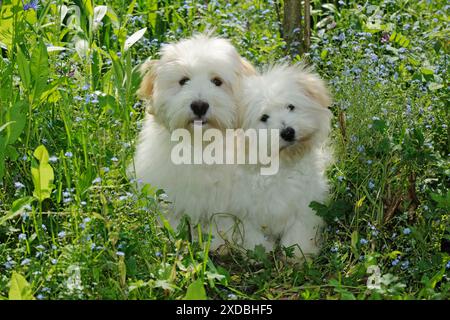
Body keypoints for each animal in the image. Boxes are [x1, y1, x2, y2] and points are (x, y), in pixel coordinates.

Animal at [132, 34, 255, 248]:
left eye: (217, 81)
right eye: (183, 81)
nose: (199, 105)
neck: (200, 144)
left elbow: (222, 220)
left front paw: (217, 242)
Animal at [230, 63, 332, 258]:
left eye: (290, 107)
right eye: (264, 117)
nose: (288, 132)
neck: (280, 164)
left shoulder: (305, 203)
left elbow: (299, 229)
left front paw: (299, 252)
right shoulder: (243, 209)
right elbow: (251, 232)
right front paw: (258, 251)